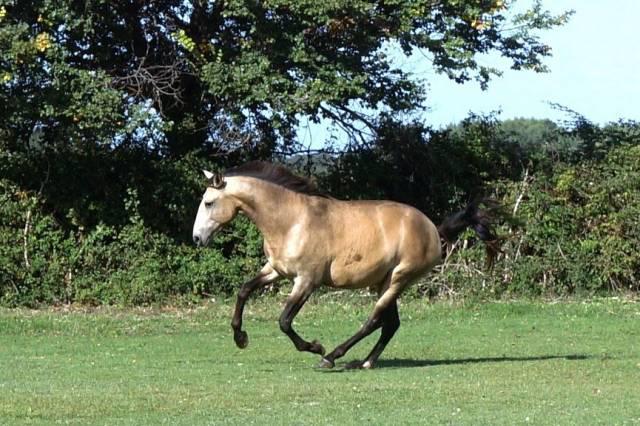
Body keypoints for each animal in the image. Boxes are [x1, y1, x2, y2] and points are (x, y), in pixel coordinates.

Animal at [191, 161, 500, 368]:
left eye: (208, 203)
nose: (196, 238)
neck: (292, 221)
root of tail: (434, 230)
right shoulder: (276, 271)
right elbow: (244, 290)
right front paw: (240, 338)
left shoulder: (306, 281)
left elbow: (284, 321)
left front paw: (315, 347)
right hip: (384, 282)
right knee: (390, 324)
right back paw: (365, 362)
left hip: (398, 279)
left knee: (374, 320)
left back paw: (331, 357)